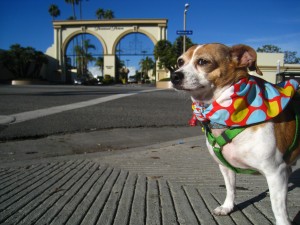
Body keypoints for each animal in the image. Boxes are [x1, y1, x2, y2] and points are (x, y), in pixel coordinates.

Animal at [171, 43, 300, 225]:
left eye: (203, 61)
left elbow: (278, 208)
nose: (174, 75)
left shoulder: (275, 171)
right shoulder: (225, 167)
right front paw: (228, 207)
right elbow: (230, 188)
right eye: (180, 61)